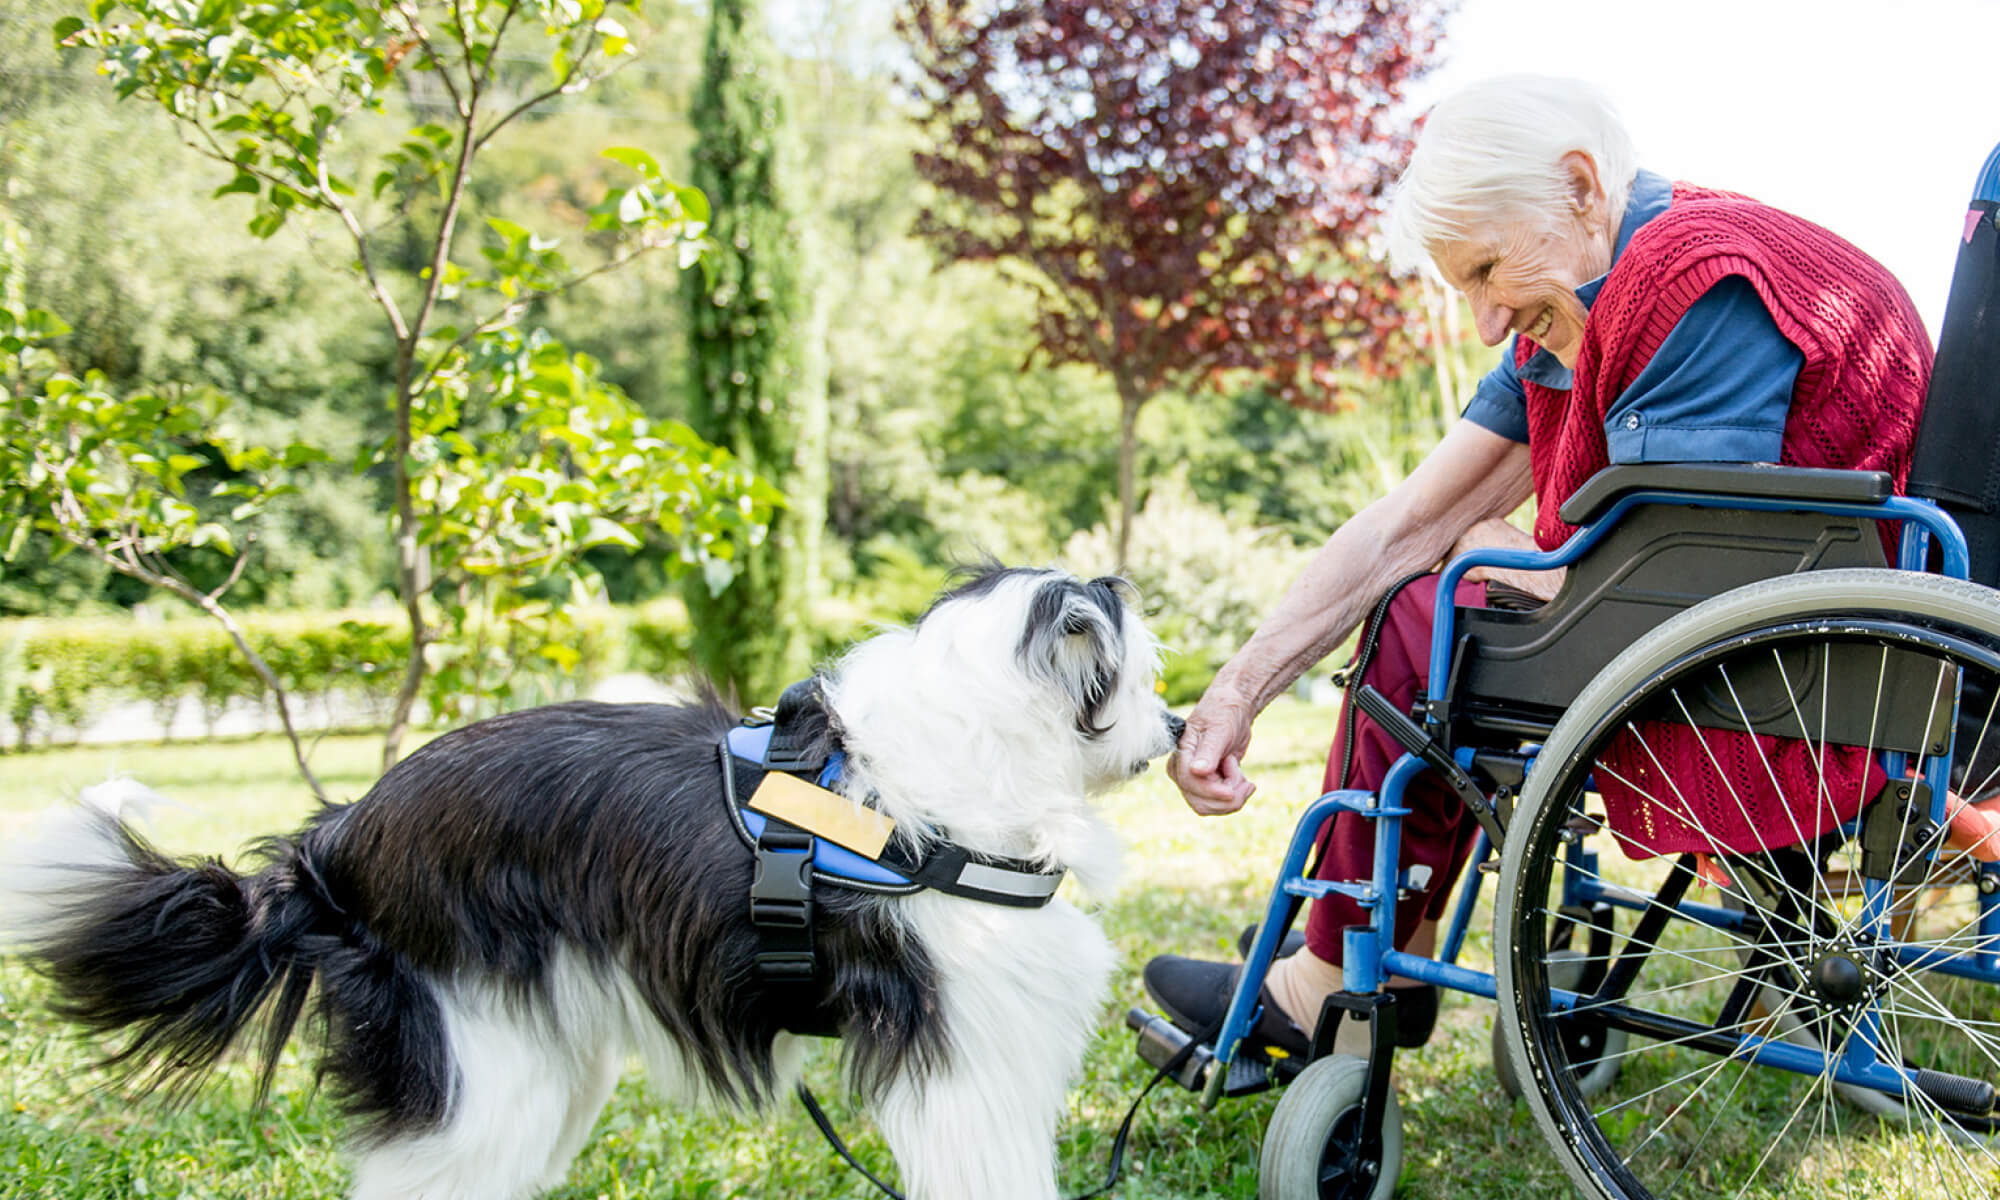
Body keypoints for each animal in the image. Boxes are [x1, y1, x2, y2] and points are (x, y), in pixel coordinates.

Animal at [0, 568, 1176, 1192]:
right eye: (1137, 681)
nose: (1173, 728)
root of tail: (336, 841)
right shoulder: (960, 1062)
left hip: (542, 1066)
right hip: (482, 1080)